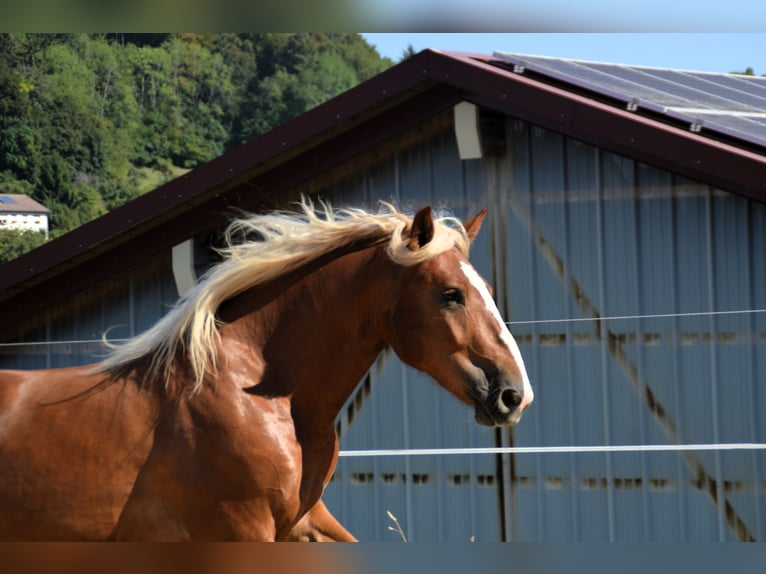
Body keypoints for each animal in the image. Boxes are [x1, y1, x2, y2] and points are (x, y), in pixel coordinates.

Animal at [0, 199, 533, 541]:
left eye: (486, 288)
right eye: (450, 294)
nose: (515, 394)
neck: (258, 396)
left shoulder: (303, 523)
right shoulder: (243, 529)